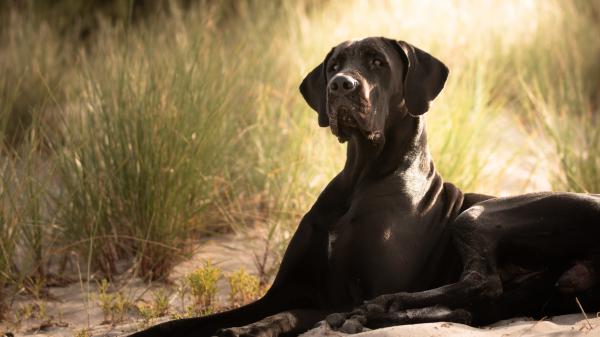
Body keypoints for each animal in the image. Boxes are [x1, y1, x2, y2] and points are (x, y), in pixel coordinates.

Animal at [131, 36, 600, 336]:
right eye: (334, 66)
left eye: (377, 62)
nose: (341, 85)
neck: (362, 177)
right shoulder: (278, 292)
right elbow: (181, 323)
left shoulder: (360, 285)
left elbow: (304, 312)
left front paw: (263, 328)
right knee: (468, 308)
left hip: (478, 214)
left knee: (480, 282)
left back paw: (378, 310)